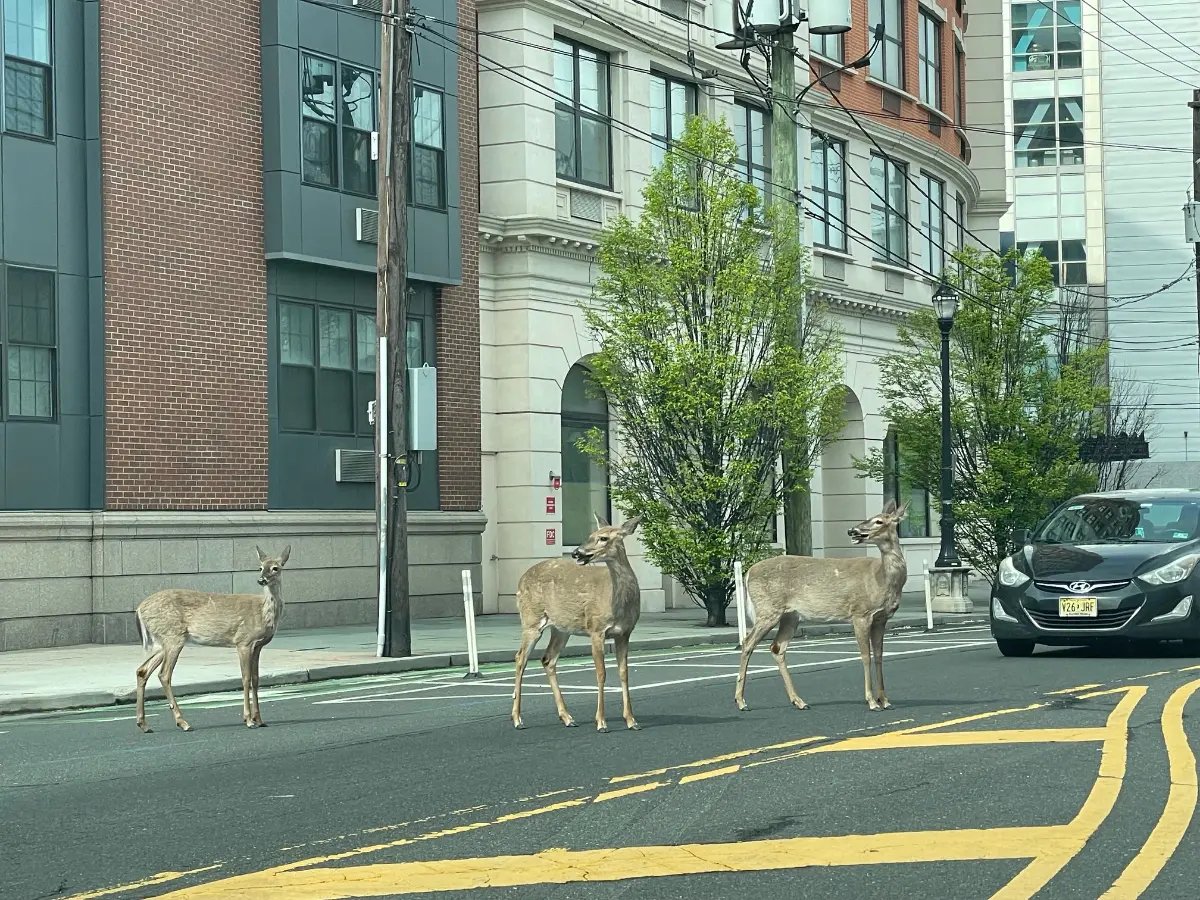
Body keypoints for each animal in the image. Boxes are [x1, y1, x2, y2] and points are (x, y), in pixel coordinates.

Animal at [135, 549, 291, 734]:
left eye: (275, 568)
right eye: (260, 567)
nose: (261, 580)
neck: (263, 612)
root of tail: (139, 609)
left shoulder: (258, 646)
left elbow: (256, 679)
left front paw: (259, 720)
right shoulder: (243, 641)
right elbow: (245, 678)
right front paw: (248, 720)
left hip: (163, 641)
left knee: (142, 670)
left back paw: (144, 724)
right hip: (173, 637)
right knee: (164, 674)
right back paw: (183, 722)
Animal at [516, 513, 648, 734]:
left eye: (603, 538)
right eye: (590, 535)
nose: (577, 552)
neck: (618, 603)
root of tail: (520, 581)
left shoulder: (625, 632)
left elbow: (624, 673)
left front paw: (632, 720)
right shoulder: (596, 629)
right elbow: (601, 673)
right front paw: (601, 722)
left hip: (561, 629)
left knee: (547, 659)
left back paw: (568, 718)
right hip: (531, 620)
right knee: (520, 658)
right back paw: (517, 719)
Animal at [729, 504, 907, 715]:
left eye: (879, 521)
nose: (852, 530)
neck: (882, 579)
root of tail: (748, 573)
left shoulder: (881, 618)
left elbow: (879, 655)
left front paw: (885, 700)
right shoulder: (860, 613)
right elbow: (866, 656)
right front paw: (872, 701)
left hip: (791, 616)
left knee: (777, 647)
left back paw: (799, 701)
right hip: (768, 609)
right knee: (748, 642)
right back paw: (741, 701)